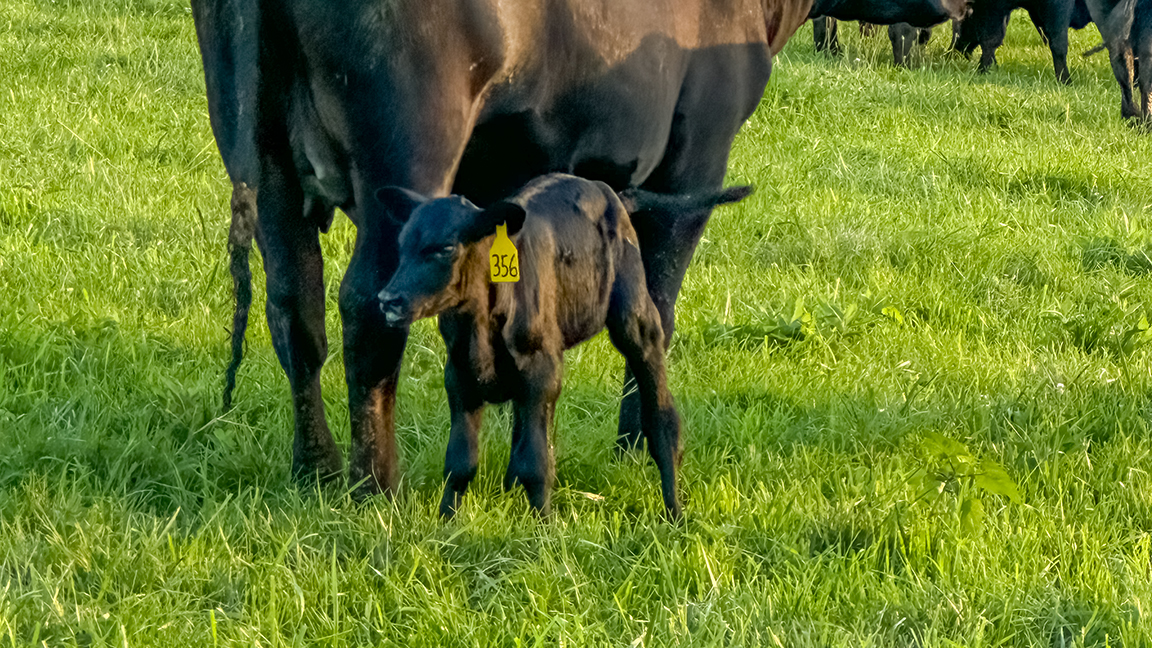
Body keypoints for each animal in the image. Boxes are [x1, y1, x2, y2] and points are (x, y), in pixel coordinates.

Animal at [368, 173, 752, 518]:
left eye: (446, 248)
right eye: (402, 245)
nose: (388, 299)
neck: (480, 329)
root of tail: (609, 191)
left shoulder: (539, 372)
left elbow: (535, 462)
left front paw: (543, 529)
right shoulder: (460, 378)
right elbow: (460, 463)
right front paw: (448, 524)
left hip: (636, 319)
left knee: (661, 414)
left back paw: (674, 512)